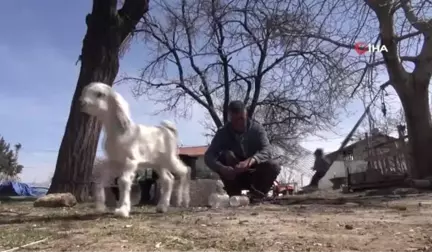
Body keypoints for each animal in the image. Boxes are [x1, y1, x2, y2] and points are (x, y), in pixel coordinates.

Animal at [80, 81, 190, 218]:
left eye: (100, 94)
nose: (81, 103)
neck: (121, 132)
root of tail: (169, 131)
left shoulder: (130, 160)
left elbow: (123, 181)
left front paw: (122, 210)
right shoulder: (115, 161)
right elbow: (101, 181)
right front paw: (101, 206)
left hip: (169, 158)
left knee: (185, 170)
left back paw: (183, 200)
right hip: (158, 164)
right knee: (168, 179)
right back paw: (162, 207)